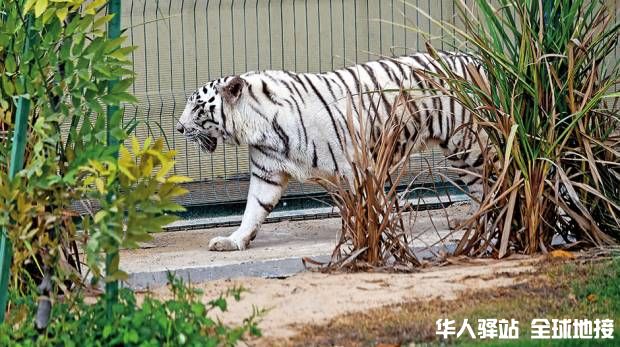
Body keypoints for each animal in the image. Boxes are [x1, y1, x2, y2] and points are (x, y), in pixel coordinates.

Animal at [177, 51, 486, 251]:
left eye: (197, 107)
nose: (179, 128)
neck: (258, 126)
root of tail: (475, 58)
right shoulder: (267, 173)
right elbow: (253, 210)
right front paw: (233, 241)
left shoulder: (357, 165)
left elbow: (372, 205)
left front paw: (379, 235)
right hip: (460, 150)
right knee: (479, 184)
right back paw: (472, 220)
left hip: (471, 140)